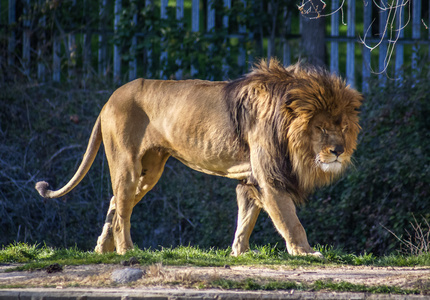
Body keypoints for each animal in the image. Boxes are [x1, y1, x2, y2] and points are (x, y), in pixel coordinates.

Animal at [35, 59, 362, 258]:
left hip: (149, 171)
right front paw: (305, 252)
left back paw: (103, 250)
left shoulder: (250, 180)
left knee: (115, 202)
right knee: (122, 210)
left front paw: (240, 253)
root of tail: (109, 99)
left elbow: (246, 219)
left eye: (343, 127)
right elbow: (291, 220)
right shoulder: (270, 179)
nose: (338, 150)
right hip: (127, 165)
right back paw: (127, 251)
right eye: (320, 128)